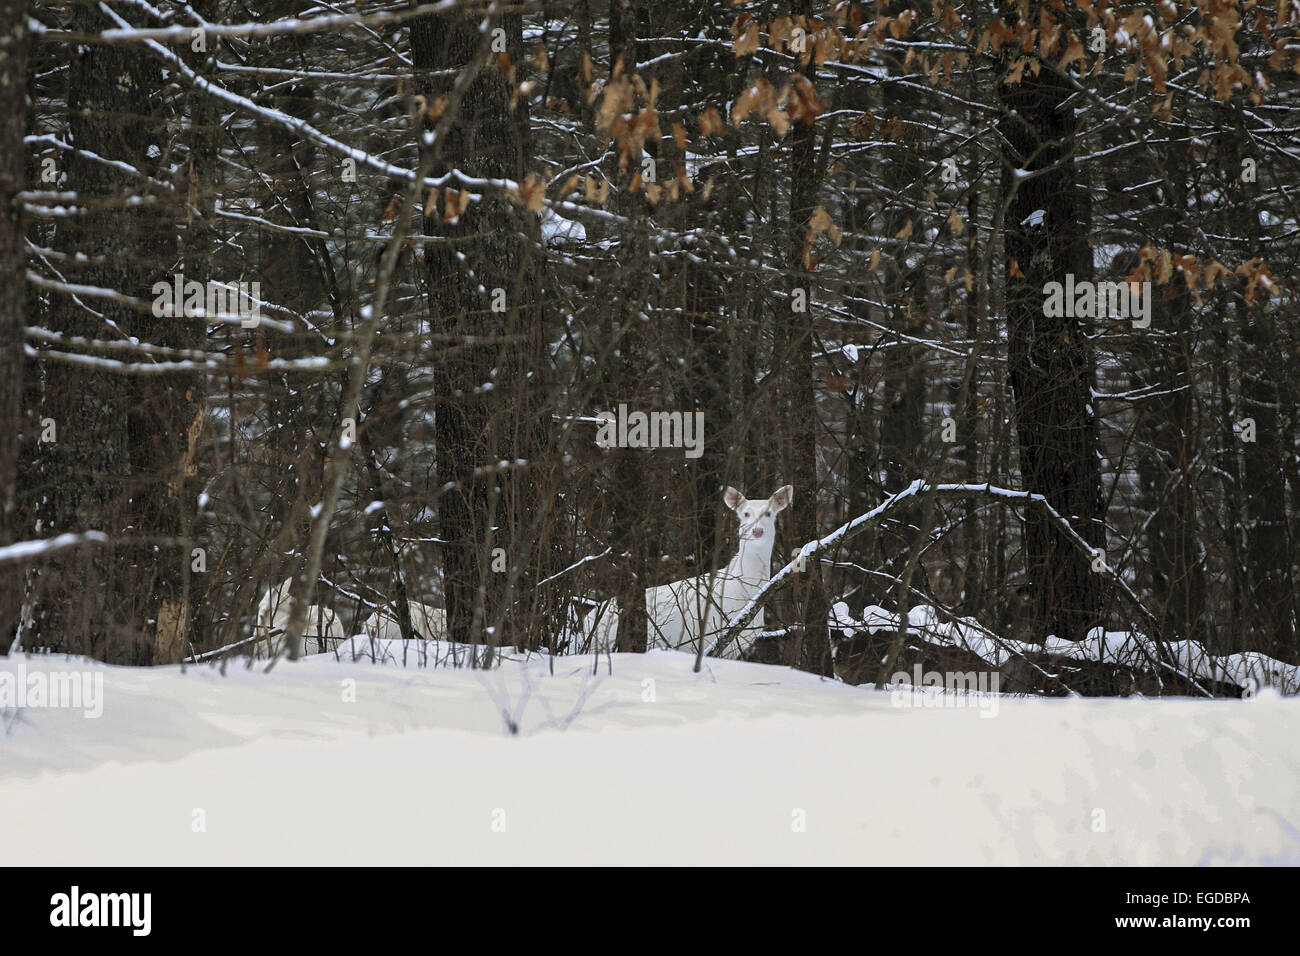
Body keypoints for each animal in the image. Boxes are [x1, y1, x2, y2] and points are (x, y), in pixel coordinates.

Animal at [581, 485, 793, 660]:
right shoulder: (711, 636)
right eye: (745, 514)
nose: (757, 531)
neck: (742, 591)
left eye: (769, 513)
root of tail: (583, 625)